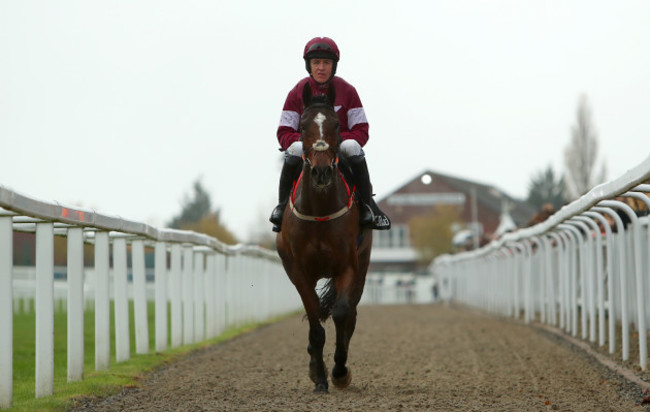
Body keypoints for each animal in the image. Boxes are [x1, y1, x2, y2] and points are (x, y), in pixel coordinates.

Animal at [276, 82, 372, 394]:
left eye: (336, 124)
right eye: (303, 125)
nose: (320, 172)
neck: (319, 209)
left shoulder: (348, 265)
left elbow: (341, 313)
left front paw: (339, 371)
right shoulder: (299, 271)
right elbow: (315, 320)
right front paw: (318, 376)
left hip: (363, 265)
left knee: (350, 314)